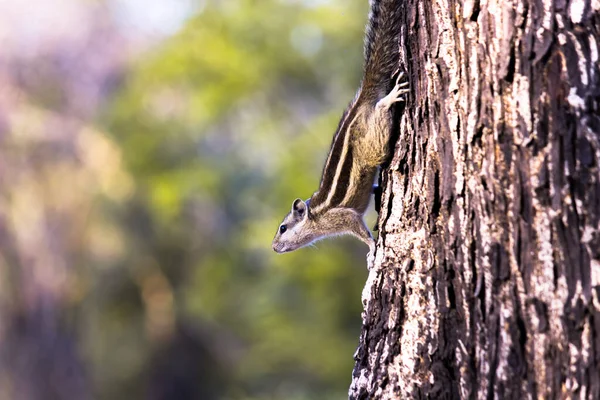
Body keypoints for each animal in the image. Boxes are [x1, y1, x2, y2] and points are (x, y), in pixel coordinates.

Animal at [272, 0, 408, 268]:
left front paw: (372, 250)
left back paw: (389, 98)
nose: (273, 247)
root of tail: (362, 100)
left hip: (372, 142)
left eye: (283, 228)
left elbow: (361, 232)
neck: (315, 217)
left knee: (380, 116)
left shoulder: (343, 217)